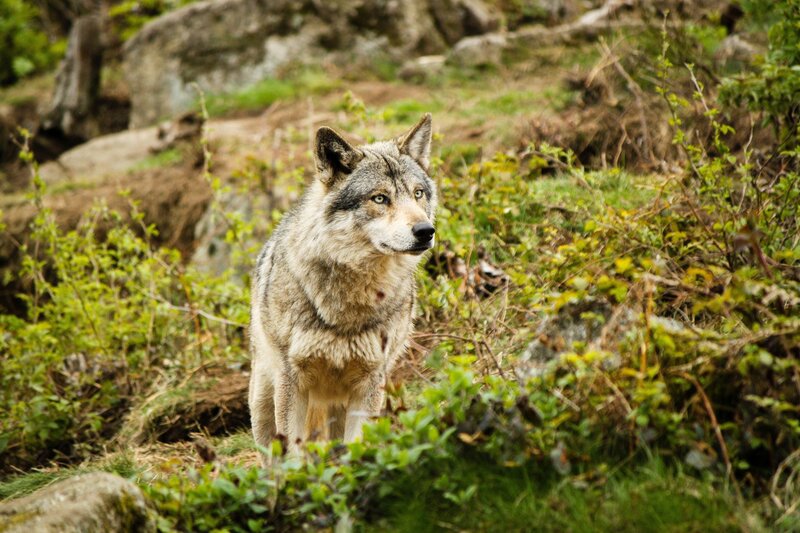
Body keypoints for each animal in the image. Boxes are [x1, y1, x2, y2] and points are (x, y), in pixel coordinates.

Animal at [248, 114, 437, 462]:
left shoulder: (370, 383)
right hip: (264, 402)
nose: (425, 231)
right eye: (380, 198)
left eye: (418, 193)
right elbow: (294, 456)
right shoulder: (292, 381)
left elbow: (357, 447)